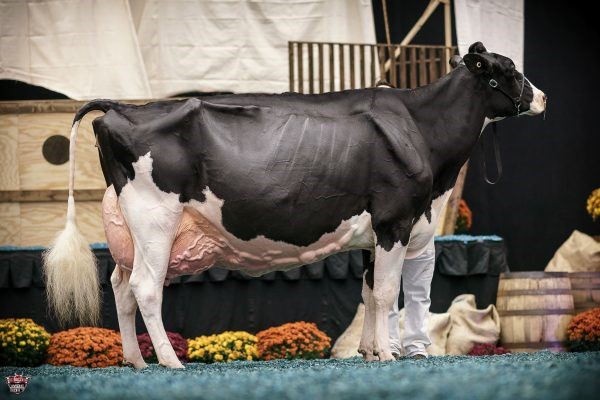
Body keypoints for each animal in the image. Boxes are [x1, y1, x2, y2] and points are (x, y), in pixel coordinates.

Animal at [44, 42, 548, 368]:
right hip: (155, 220)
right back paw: (170, 363)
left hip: (130, 231)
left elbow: (368, 293)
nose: (543, 97)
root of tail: (123, 108)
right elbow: (387, 293)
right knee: (146, 289)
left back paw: (136, 362)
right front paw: (388, 354)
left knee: (120, 287)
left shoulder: (373, 233)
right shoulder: (395, 221)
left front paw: (368, 352)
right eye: (511, 71)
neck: (422, 128)